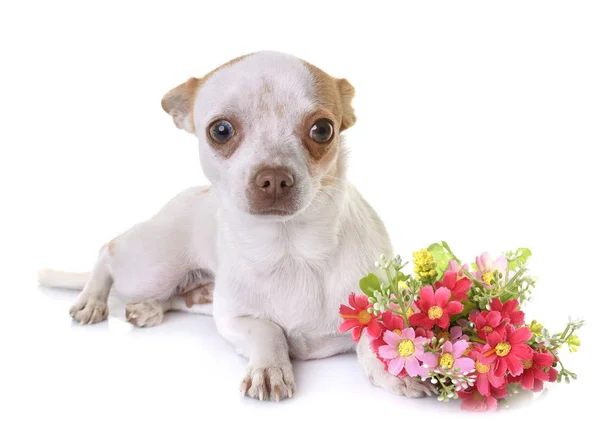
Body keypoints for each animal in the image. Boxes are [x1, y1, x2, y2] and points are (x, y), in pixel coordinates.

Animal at [39, 50, 436, 400]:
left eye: (323, 130)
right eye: (221, 130)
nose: (273, 177)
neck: (291, 249)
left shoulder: (375, 307)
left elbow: (376, 337)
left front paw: (394, 372)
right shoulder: (233, 319)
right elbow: (269, 331)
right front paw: (271, 368)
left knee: (176, 298)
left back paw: (149, 309)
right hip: (151, 269)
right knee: (108, 251)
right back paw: (91, 300)